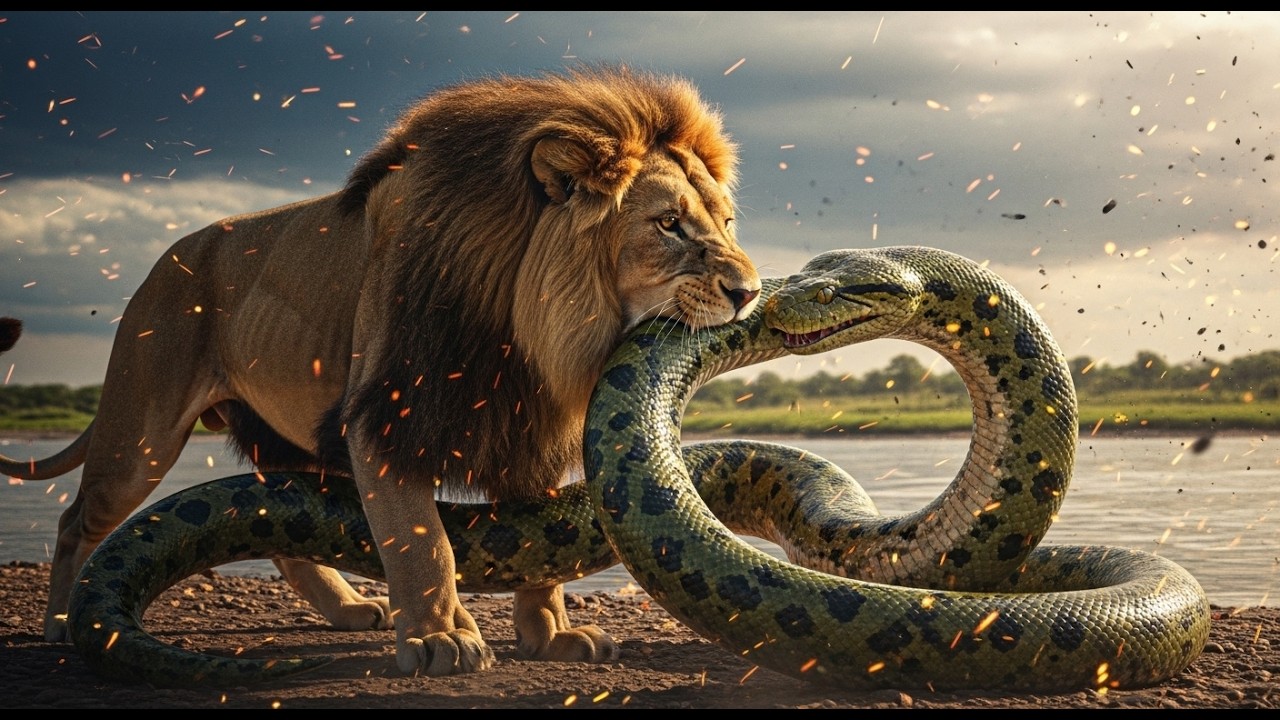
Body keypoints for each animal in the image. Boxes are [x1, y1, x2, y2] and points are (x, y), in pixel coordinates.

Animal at [0, 66, 761, 676]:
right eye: (668, 224)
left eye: (725, 222)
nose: (749, 291)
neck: (535, 333)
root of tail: (165, 259)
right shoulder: (389, 415)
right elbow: (423, 544)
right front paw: (441, 640)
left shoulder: (528, 424)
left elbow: (539, 554)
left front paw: (551, 637)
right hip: (141, 434)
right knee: (76, 519)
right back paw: (61, 623)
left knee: (282, 525)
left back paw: (347, 609)